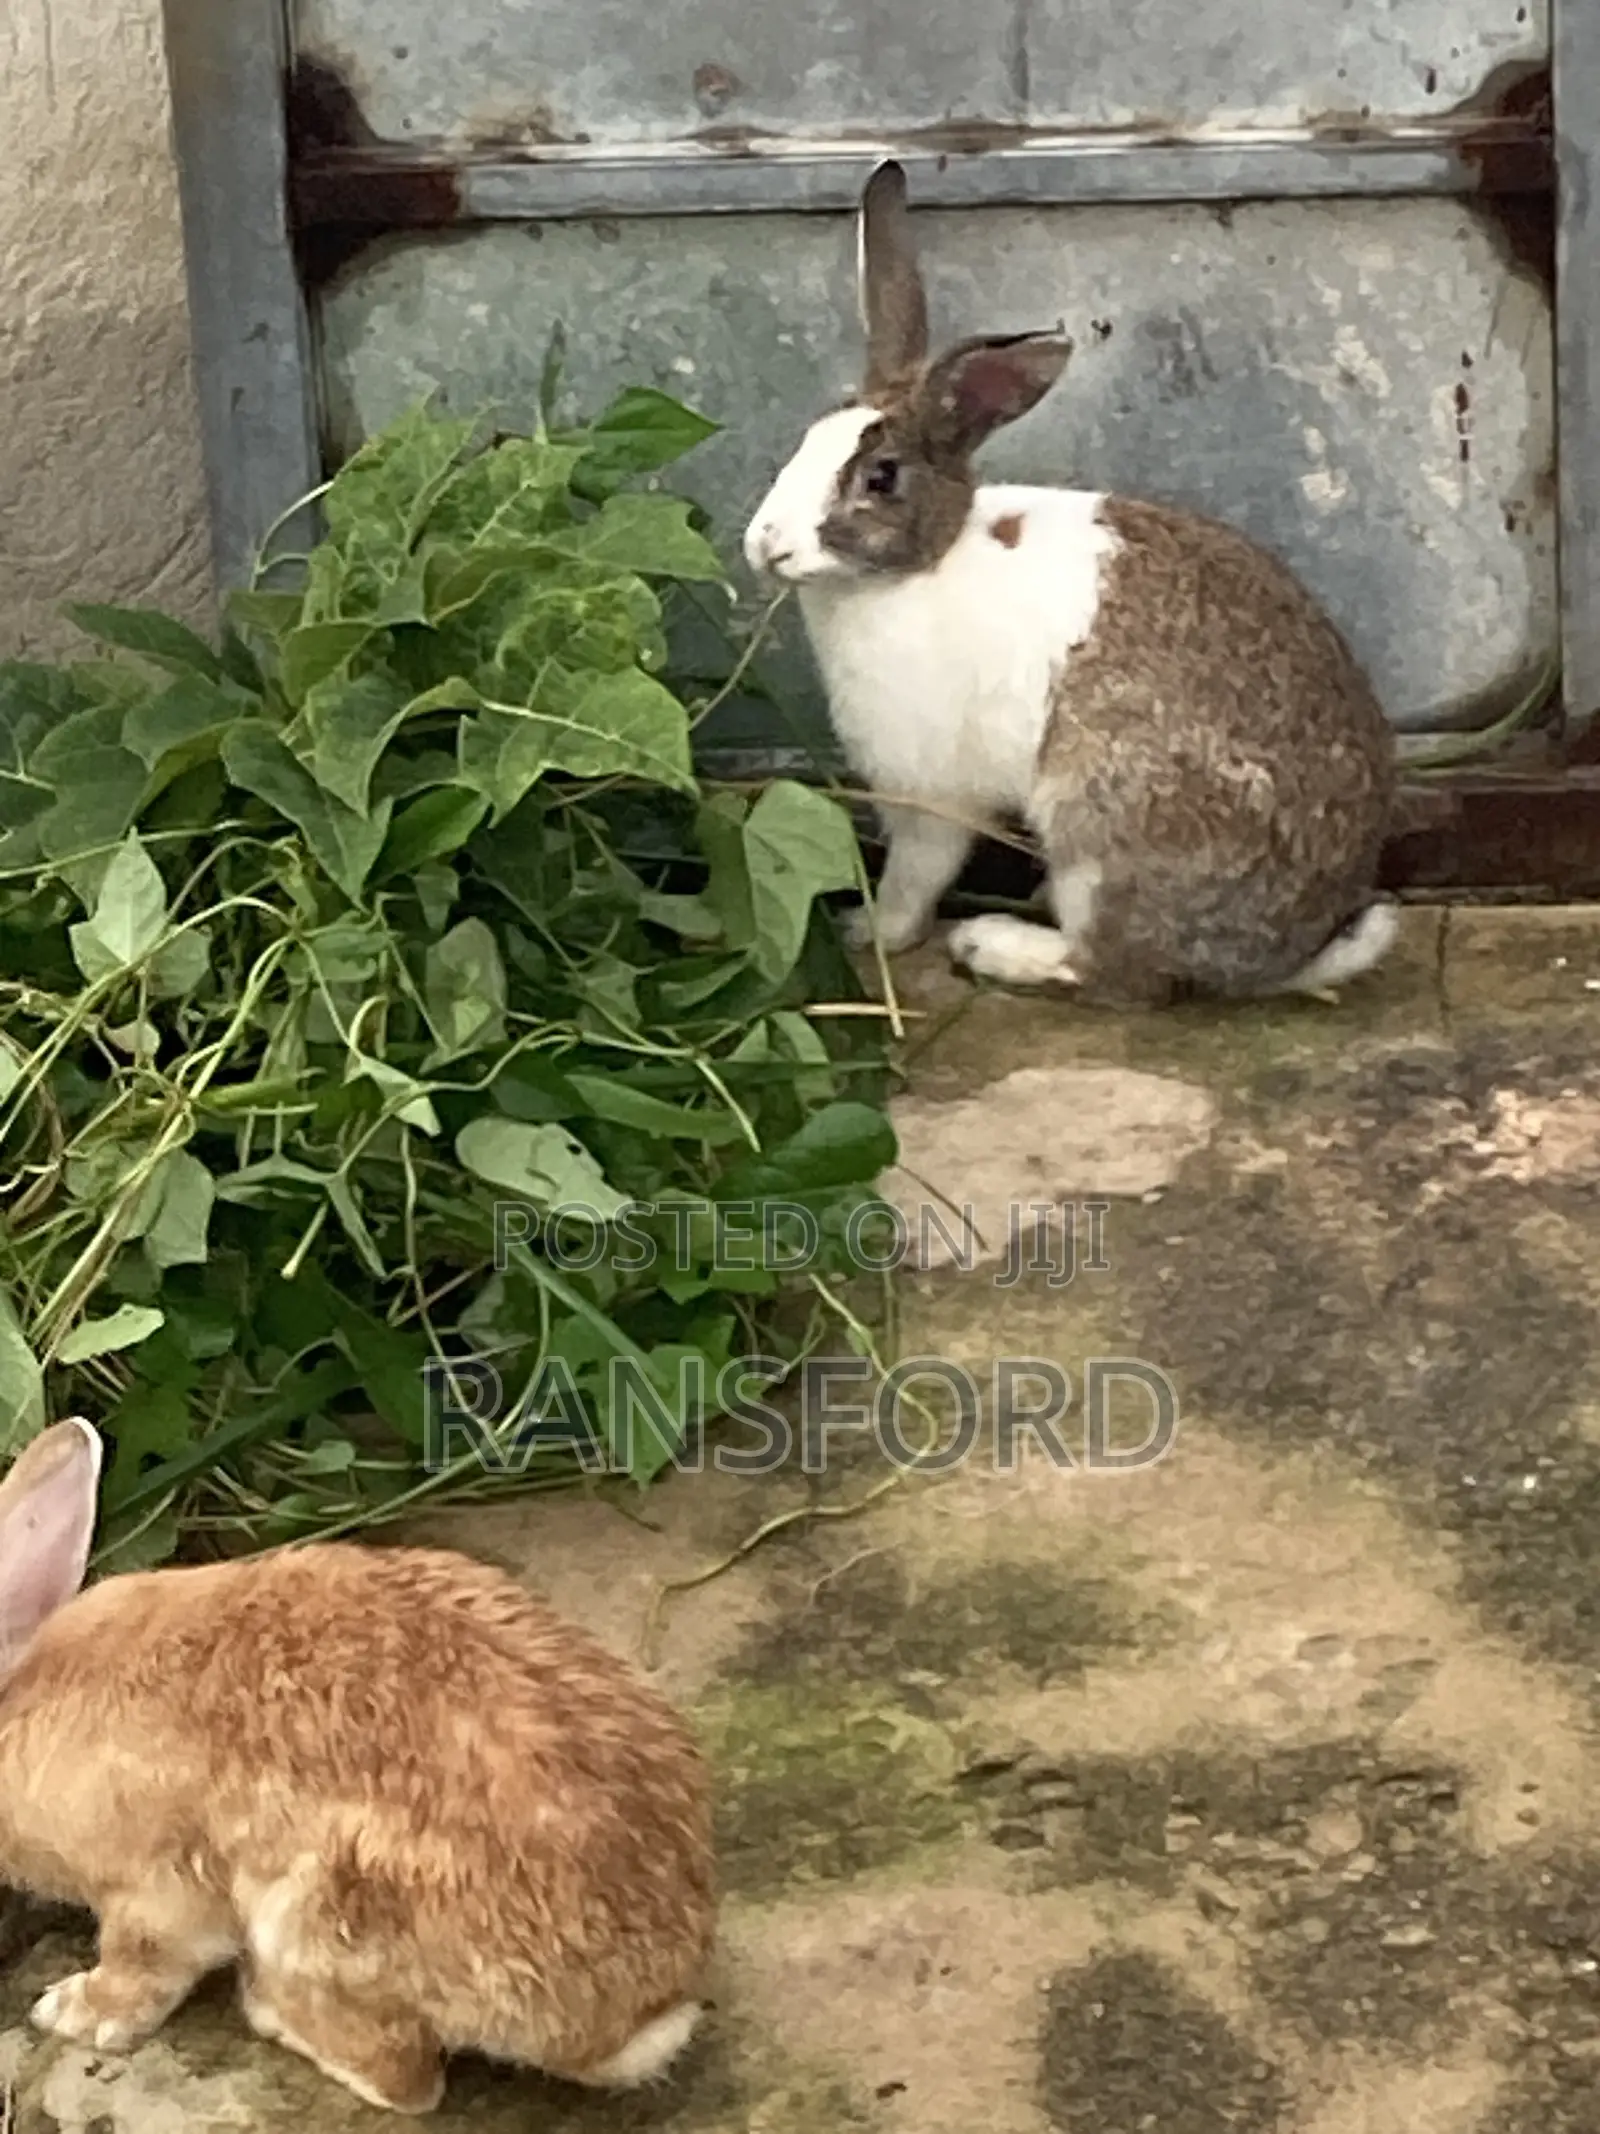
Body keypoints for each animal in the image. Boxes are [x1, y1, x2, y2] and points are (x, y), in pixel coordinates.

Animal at [0, 1417, 715, 2114]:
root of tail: (642, 2015)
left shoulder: (154, 1890)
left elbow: (143, 1961)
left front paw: (74, 2011)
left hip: (319, 1915)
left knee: (407, 2079)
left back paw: (273, 2013)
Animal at [743, 159, 1400, 1008]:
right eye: (806, 440)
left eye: (880, 477)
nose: (767, 544)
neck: (923, 565)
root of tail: (1281, 960)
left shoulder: (928, 791)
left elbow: (916, 876)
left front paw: (869, 932)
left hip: (1099, 828)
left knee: (1114, 974)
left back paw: (993, 944)